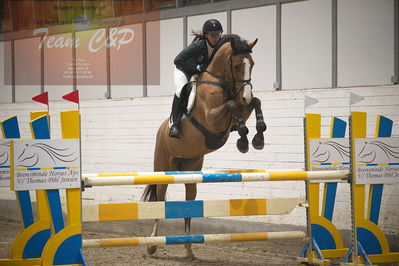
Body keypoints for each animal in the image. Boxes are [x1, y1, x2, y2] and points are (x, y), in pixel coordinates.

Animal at [142, 33, 268, 258]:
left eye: (252, 64)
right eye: (237, 65)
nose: (246, 95)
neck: (221, 81)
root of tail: (161, 130)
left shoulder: (238, 110)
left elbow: (255, 103)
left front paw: (256, 139)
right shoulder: (212, 119)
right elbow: (233, 105)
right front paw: (243, 139)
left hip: (190, 170)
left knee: (189, 204)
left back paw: (189, 249)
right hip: (163, 168)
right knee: (159, 200)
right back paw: (152, 245)